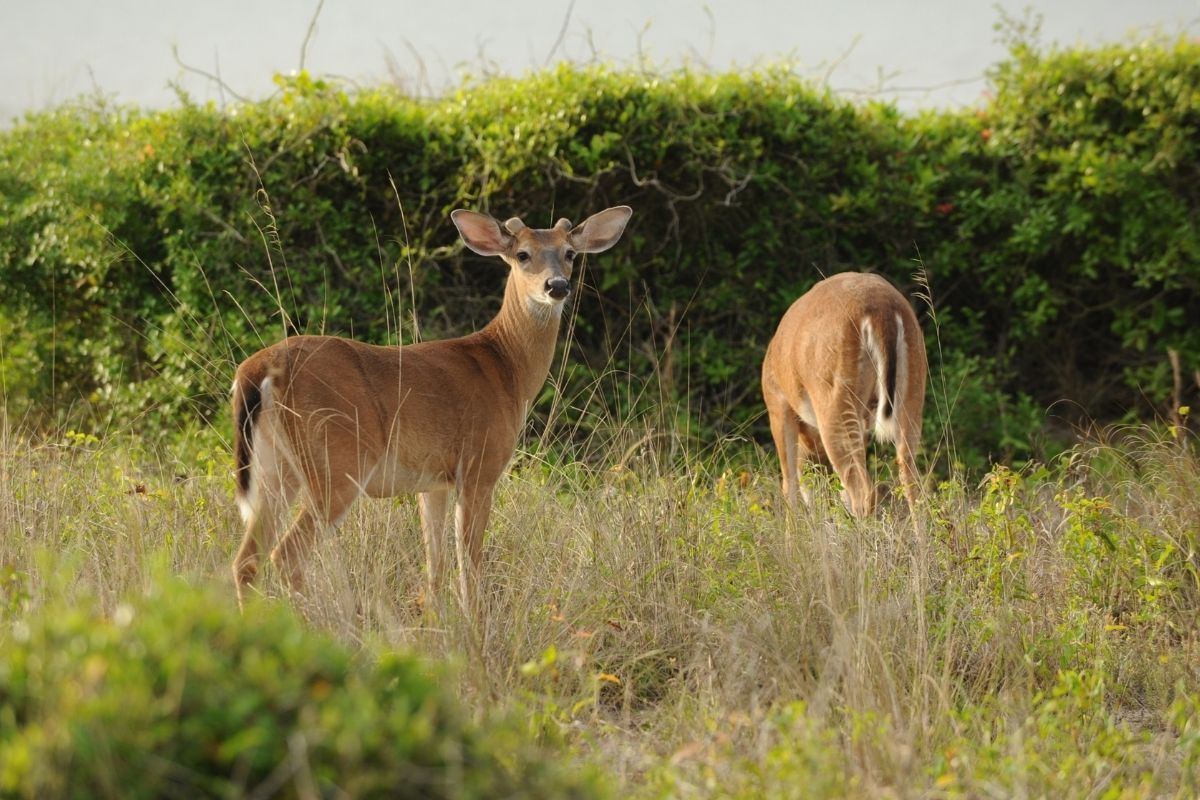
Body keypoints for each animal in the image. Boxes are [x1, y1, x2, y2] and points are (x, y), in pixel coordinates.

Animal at [230, 205, 633, 614]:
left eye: (570, 254)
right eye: (522, 254)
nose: (557, 286)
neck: (506, 368)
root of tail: (257, 370)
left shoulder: (432, 482)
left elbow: (434, 564)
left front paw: (435, 618)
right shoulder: (479, 466)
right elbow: (468, 564)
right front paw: (474, 620)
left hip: (276, 468)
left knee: (246, 559)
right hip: (338, 460)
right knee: (286, 554)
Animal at [761, 272, 927, 517]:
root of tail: (884, 310)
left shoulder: (778, 403)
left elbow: (789, 485)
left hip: (834, 397)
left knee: (862, 491)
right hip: (913, 391)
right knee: (911, 480)